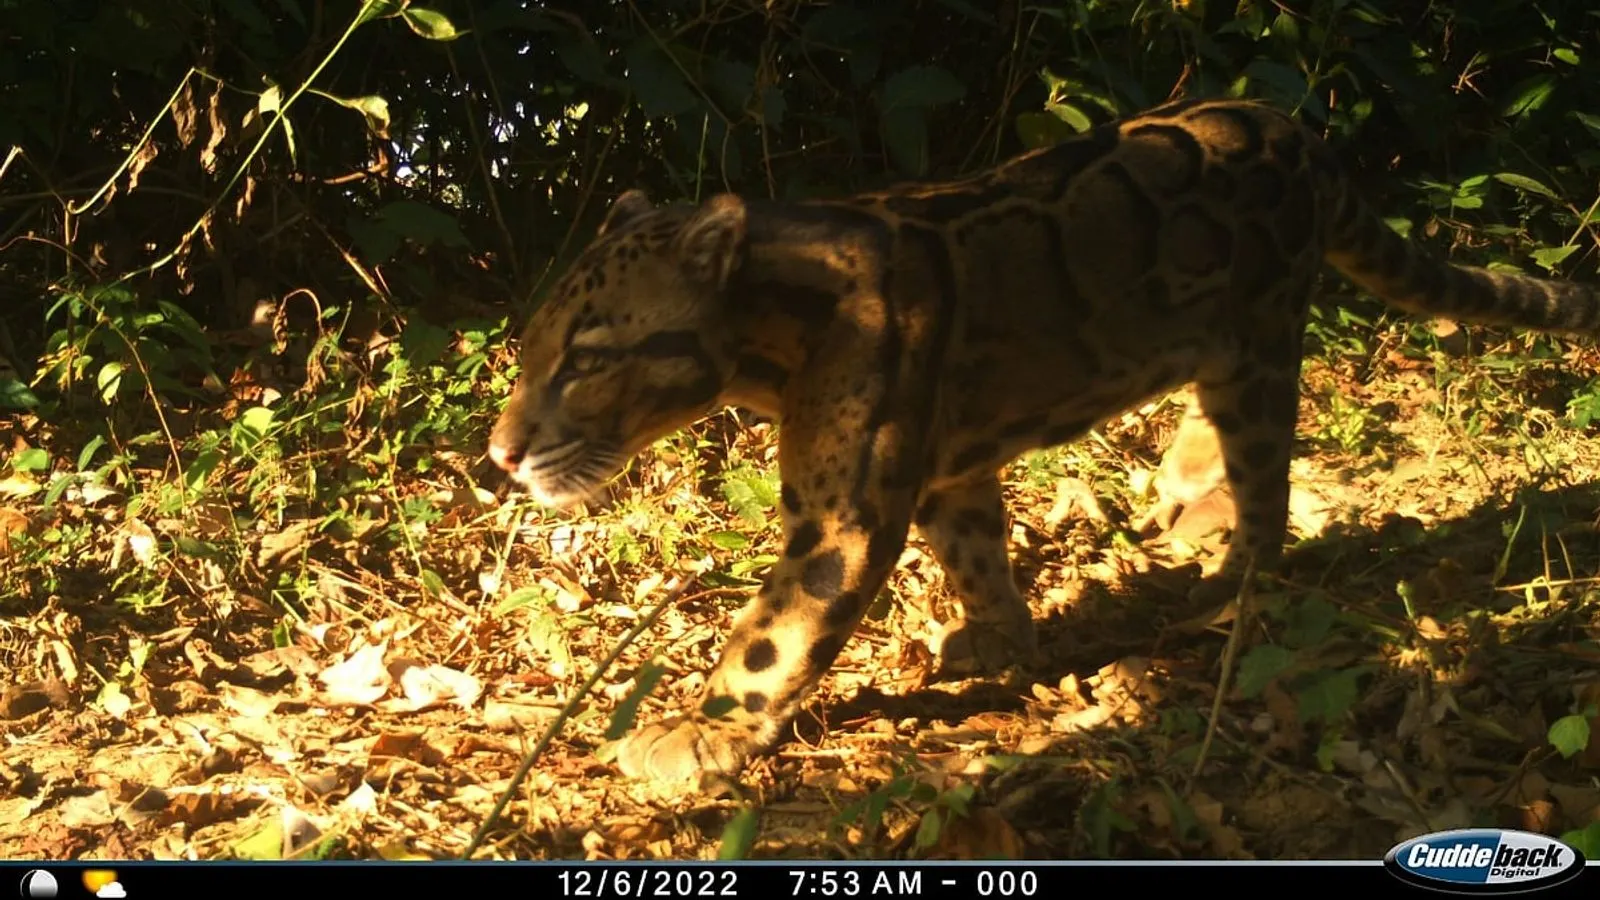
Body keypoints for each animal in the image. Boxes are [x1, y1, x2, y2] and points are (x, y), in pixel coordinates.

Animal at [486, 97, 1600, 788]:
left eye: (586, 358)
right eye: (531, 347)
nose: (497, 455)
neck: (768, 328)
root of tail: (1289, 124)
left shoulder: (840, 516)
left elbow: (772, 636)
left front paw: (694, 734)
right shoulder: (947, 470)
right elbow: (977, 551)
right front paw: (1002, 640)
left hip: (1264, 331)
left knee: (1268, 480)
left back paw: (1229, 576)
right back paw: (1185, 483)